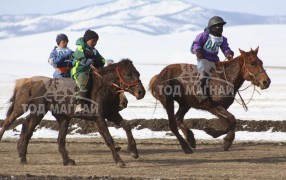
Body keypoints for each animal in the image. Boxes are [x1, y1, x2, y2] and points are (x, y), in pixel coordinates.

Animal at [0, 59, 145, 167]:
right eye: (128, 74)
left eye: (138, 73)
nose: (141, 92)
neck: (103, 88)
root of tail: (30, 82)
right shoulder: (99, 118)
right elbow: (109, 139)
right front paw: (119, 160)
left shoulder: (111, 114)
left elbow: (126, 125)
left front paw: (134, 151)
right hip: (34, 112)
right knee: (20, 128)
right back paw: (23, 157)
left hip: (63, 118)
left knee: (58, 139)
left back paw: (67, 160)